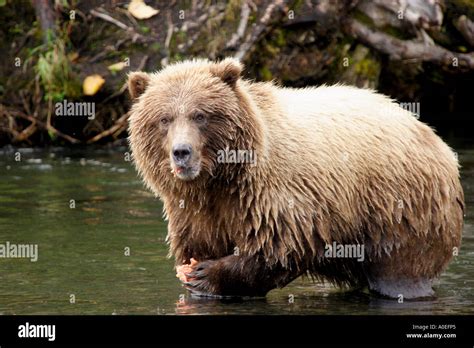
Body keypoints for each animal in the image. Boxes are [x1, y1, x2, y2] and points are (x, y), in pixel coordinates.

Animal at [126, 57, 462, 300]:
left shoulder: (273, 196)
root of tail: (433, 135)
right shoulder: (194, 210)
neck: (221, 180)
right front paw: (196, 273)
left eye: (200, 115)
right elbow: (198, 242)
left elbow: (278, 248)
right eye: (164, 118)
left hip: (399, 206)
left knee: (402, 265)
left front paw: (206, 275)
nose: (181, 152)